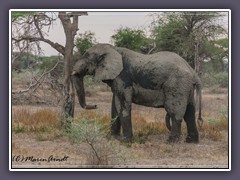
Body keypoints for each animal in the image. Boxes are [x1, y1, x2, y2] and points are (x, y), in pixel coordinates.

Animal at [71, 43, 202, 143]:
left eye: (87, 57)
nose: (95, 105)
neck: (112, 48)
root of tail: (193, 72)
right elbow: (115, 106)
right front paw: (111, 138)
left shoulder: (122, 78)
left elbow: (122, 106)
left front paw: (125, 141)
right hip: (186, 87)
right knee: (189, 112)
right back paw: (191, 141)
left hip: (177, 84)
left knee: (175, 111)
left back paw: (171, 142)